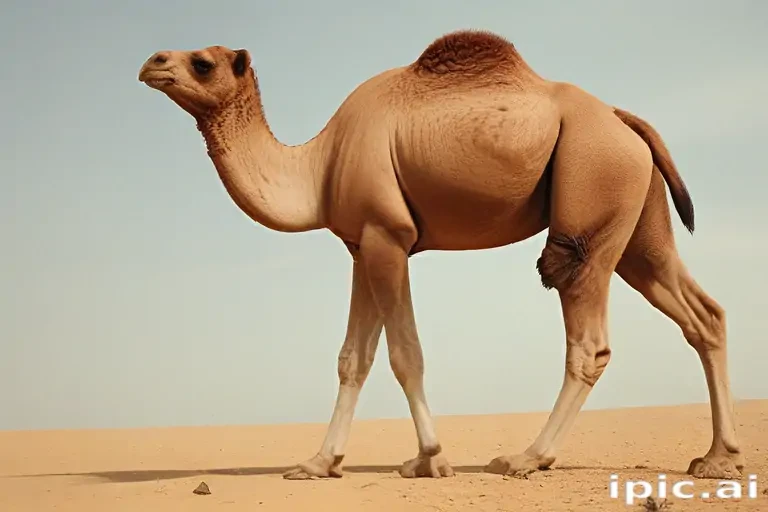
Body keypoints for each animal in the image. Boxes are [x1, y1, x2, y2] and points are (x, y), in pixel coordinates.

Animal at [137, 29, 743, 481]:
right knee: (701, 312)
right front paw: (318, 463)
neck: (319, 165)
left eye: (202, 63)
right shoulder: (361, 244)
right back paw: (718, 460)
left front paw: (429, 459)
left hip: (592, 184)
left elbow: (406, 353)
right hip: (638, 218)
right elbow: (352, 359)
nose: (151, 62)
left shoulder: (389, 234)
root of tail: (623, 118)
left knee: (585, 329)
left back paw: (526, 458)